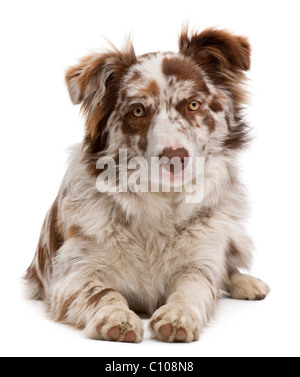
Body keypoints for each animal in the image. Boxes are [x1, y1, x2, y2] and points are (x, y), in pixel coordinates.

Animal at [24, 27, 270, 342]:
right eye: (138, 111)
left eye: (193, 105)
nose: (175, 156)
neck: (160, 198)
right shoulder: (72, 276)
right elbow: (103, 293)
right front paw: (115, 316)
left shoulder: (199, 263)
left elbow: (194, 289)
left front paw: (178, 315)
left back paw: (247, 283)